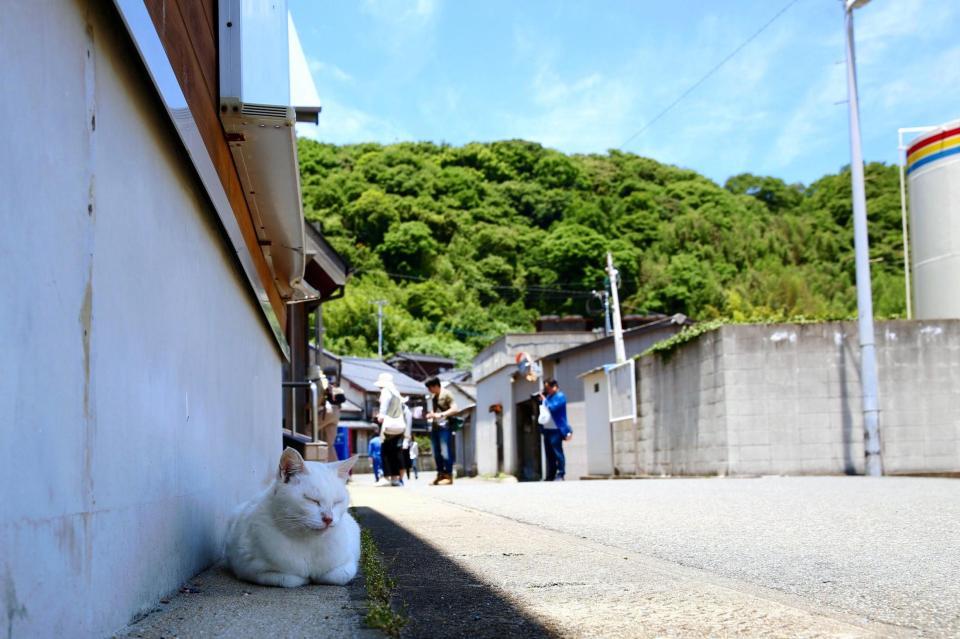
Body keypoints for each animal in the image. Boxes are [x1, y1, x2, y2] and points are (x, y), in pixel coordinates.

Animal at [225, 448, 360, 588]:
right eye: (312, 500)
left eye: (337, 502)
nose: (329, 518)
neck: (308, 542)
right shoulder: (250, 569)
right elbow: (290, 579)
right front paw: (306, 579)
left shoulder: (349, 563)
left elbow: (338, 575)